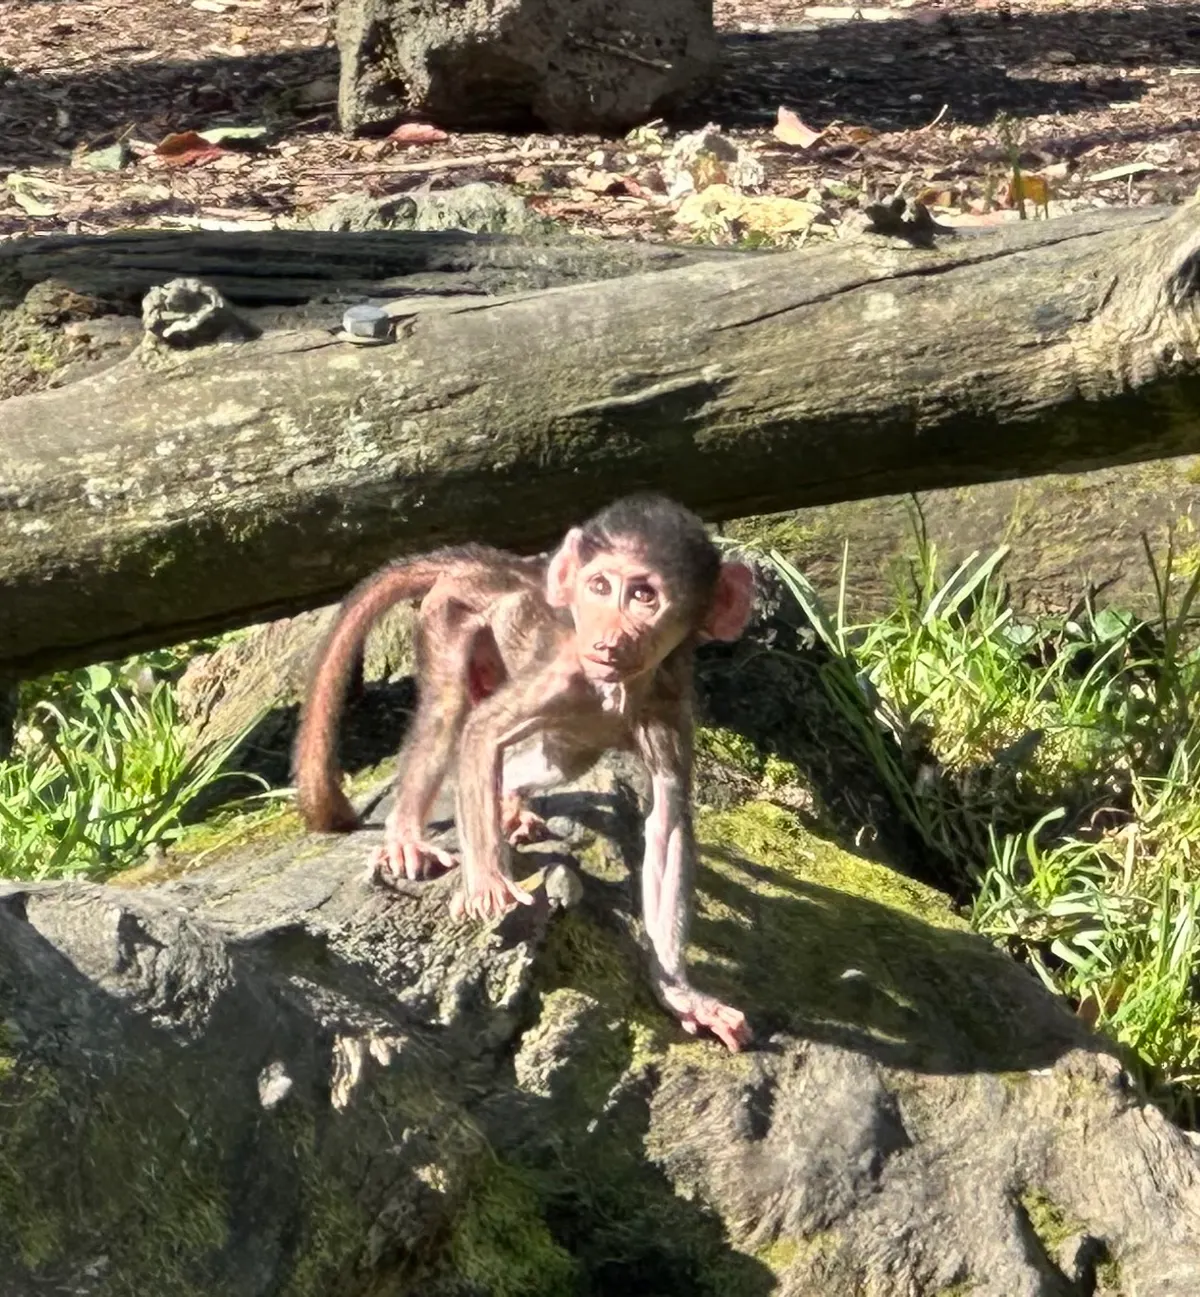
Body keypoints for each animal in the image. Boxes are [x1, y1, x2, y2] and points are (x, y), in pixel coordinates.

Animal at [293, 493, 757, 1052]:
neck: (617, 690)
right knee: (450, 709)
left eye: (643, 596)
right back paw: (407, 833)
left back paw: (510, 801)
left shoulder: (669, 700)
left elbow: (667, 826)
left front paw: (681, 994)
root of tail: (500, 566)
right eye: (600, 587)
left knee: (564, 753)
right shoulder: (563, 672)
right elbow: (480, 732)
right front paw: (488, 881)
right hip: (450, 612)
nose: (606, 639)